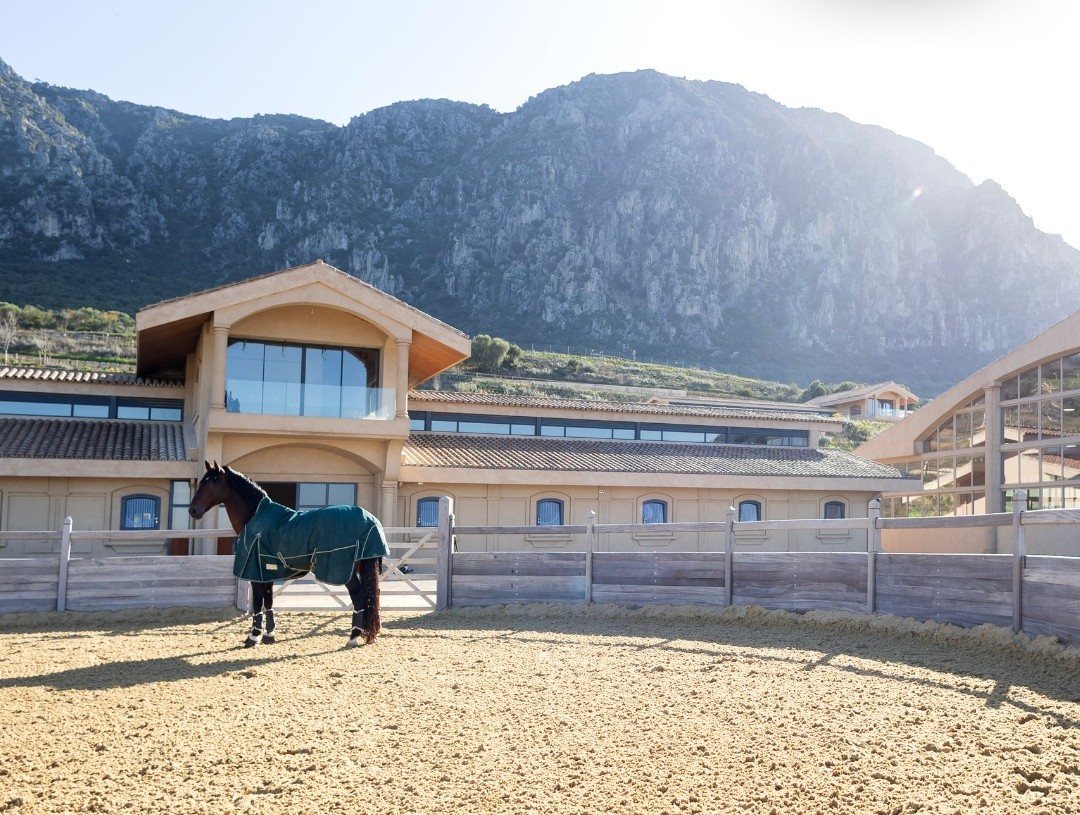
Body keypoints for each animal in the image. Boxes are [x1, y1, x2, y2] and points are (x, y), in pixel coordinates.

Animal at [188, 461, 386, 648]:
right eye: (201, 482)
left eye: (211, 482)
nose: (193, 510)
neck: (255, 516)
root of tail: (370, 521)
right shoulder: (266, 573)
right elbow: (268, 602)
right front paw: (269, 636)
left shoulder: (255, 573)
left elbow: (257, 603)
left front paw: (253, 637)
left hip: (345, 571)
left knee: (358, 596)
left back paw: (353, 637)